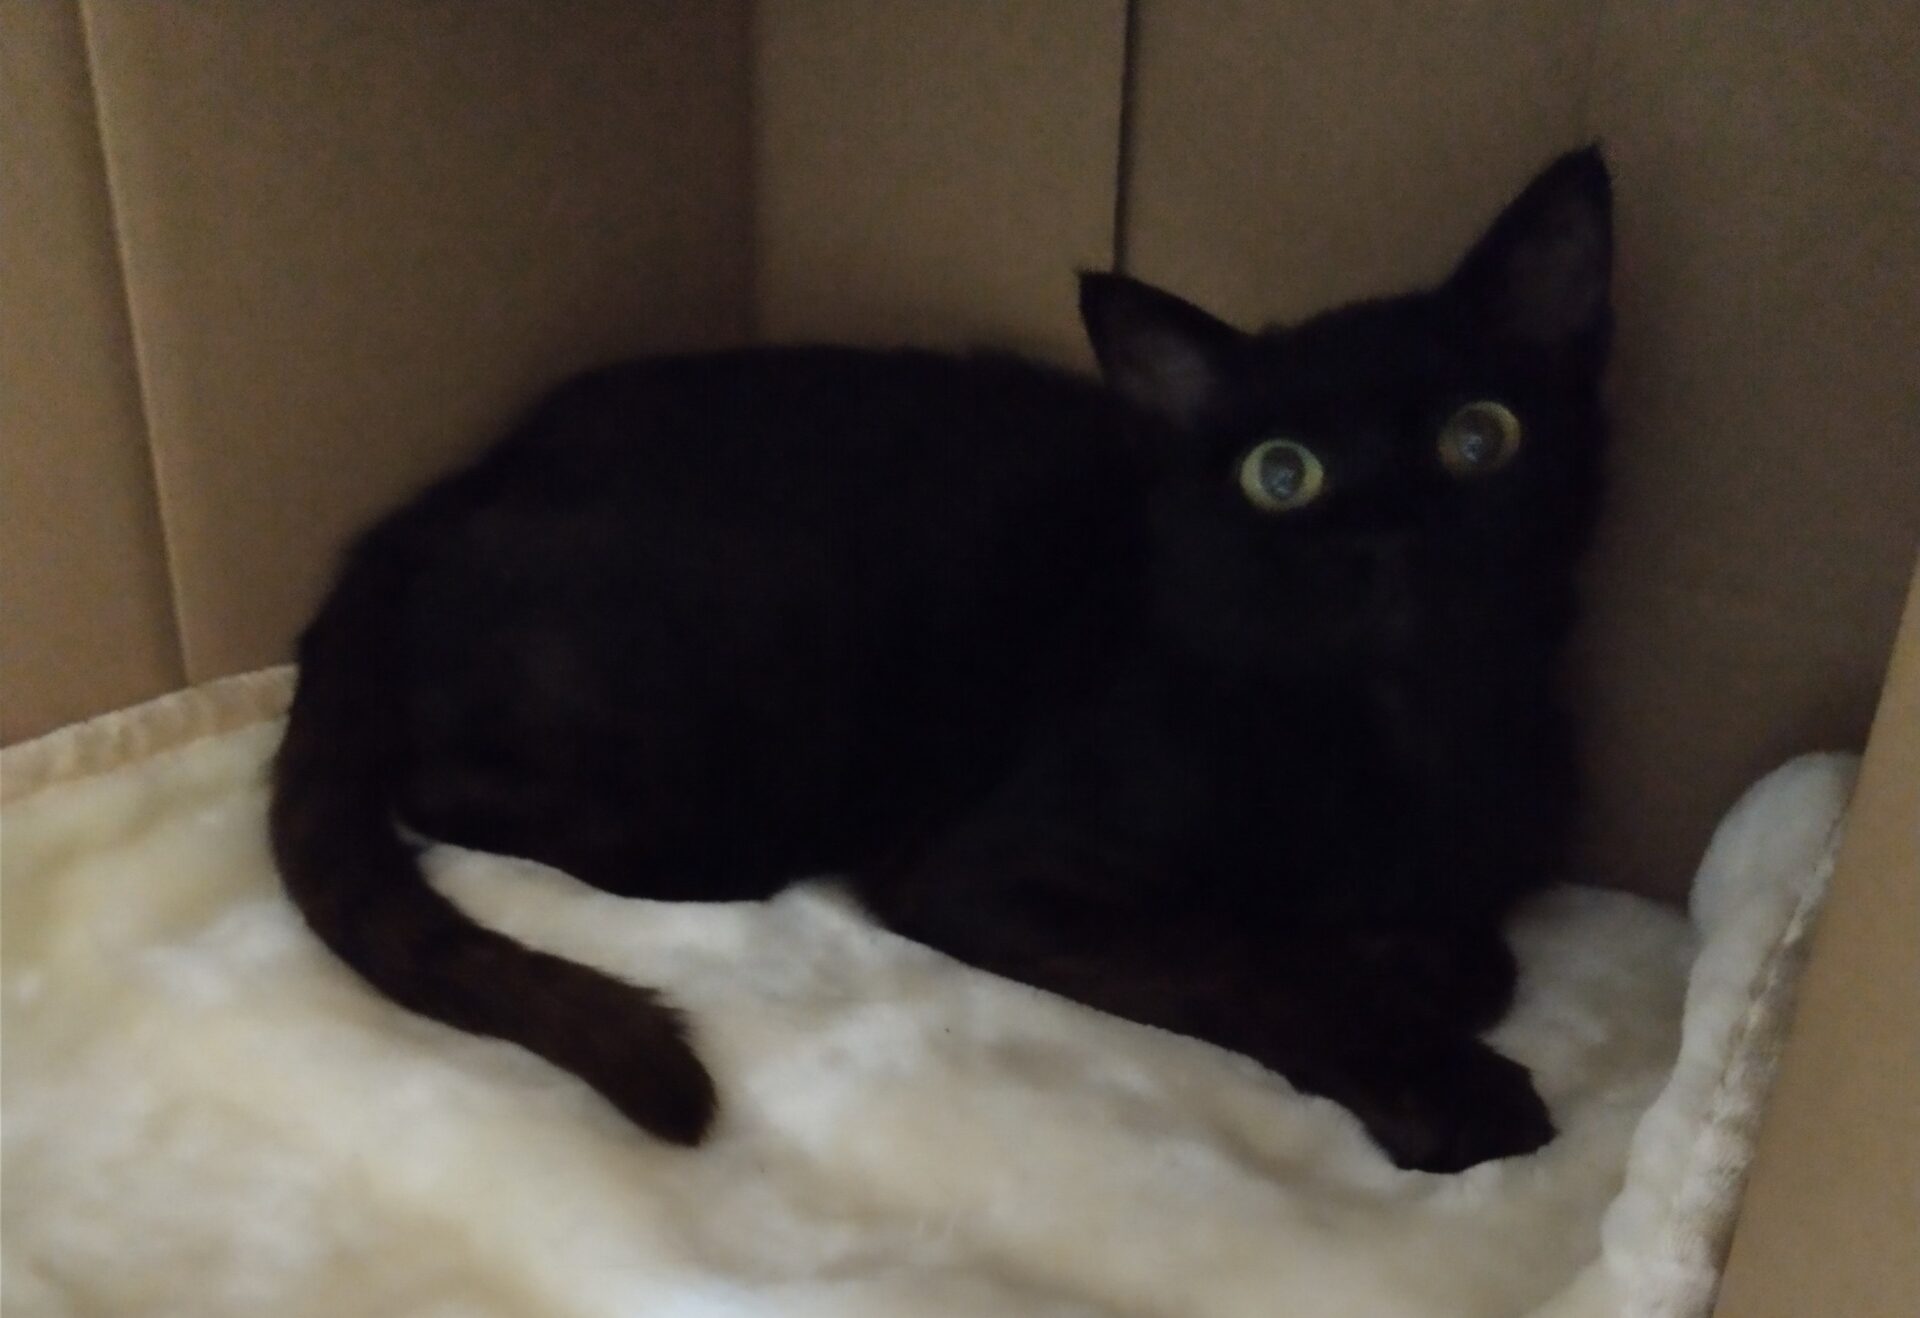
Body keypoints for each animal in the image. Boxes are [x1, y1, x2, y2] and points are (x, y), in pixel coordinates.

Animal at [271, 146, 1611, 1173]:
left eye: (1480, 437)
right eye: (1281, 473)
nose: (1391, 532)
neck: (1391, 733)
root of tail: (450, 488)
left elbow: (1469, 949)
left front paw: (1401, 961)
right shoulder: (987, 874)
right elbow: (1240, 960)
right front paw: (1443, 1081)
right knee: (443, 788)